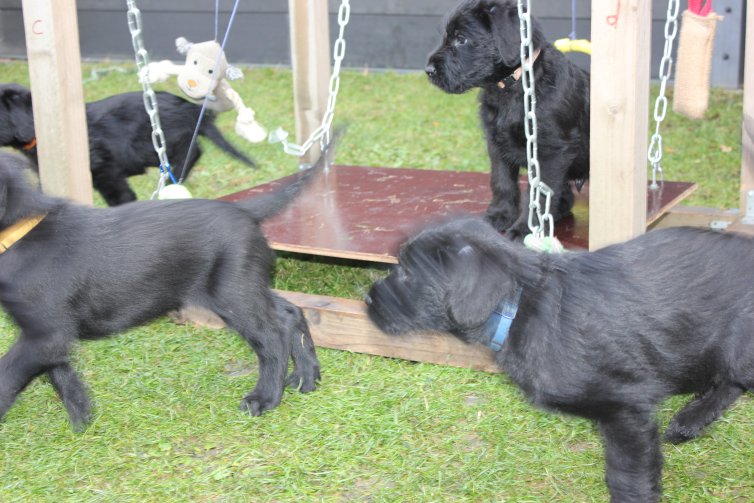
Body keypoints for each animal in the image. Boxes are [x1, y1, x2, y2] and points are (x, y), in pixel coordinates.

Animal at [0, 152, 320, 432]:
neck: (21, 233)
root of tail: (243, 209)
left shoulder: (46, 334)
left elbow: (8, 374)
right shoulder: (47, 334)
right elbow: (60, 372)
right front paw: (82, 417)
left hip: (233, 294)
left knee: (272, 335)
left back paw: (264, 398)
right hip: (244, 286)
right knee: (289, 313)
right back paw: (306, 377)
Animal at [368, 218, 752, 503]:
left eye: (407, 272)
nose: (368, 299)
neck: (518, 304)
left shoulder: (627, 408)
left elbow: (626, 474)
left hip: (736, 350)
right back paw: (691, 419)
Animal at [424, 0, 588, 238]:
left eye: (461, 39)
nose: (428, 70)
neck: (513, 87)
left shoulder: (551, 153)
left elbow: (537, 195)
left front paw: (525, 231)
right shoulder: (496, 143)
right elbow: (502, 182)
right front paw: (499, 215)